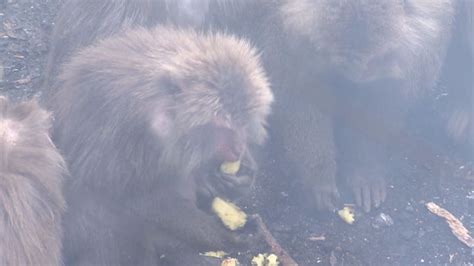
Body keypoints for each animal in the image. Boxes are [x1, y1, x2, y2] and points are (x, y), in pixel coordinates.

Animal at [49, 26, 272, 264]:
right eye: (222, 125)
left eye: (240, 124)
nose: (238, 148)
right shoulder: (134, 137)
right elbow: (146, 201)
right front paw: (229, 236)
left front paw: (237, 176)